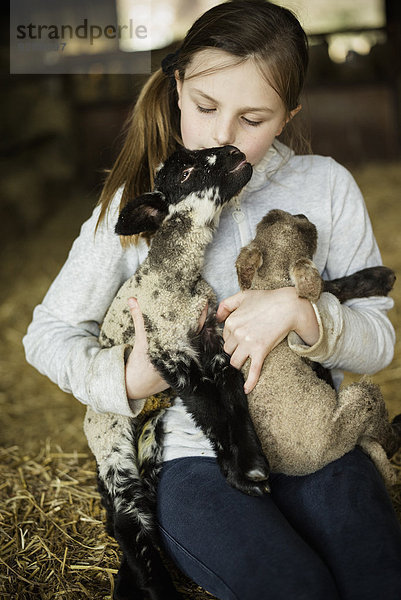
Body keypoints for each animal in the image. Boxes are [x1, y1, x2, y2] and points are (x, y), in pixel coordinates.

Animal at [83, 146, 268, 600]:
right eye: (184, 172)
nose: (236, 151)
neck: (179, 279)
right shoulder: (169, 356)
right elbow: (211, 409)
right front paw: (244, 475)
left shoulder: (212, 340)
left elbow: (231, 405)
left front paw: (248, 467)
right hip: (110, 437)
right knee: (127, 516)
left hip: (150, 436)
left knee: (140, 506)